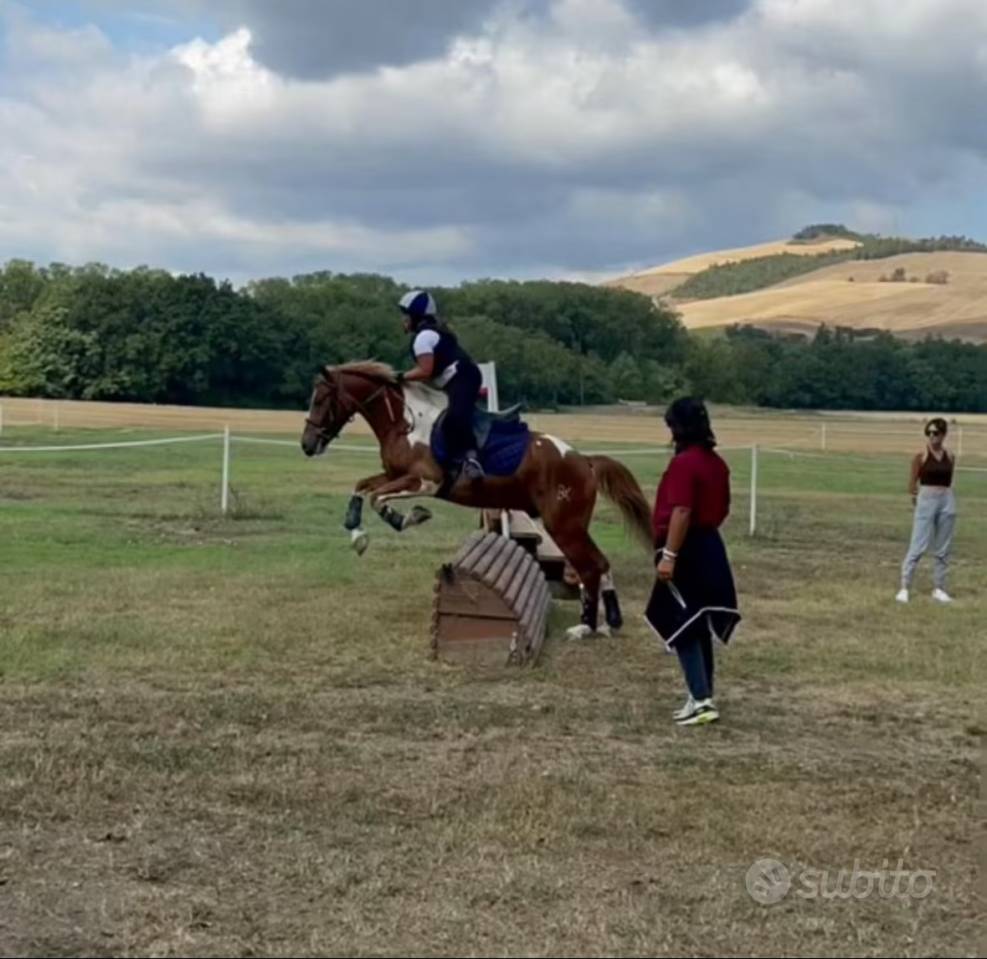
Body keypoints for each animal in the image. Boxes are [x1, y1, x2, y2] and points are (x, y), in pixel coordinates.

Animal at [300, 361, 653, 639]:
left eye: (321, 400)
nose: (307, 444)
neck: (404, 421)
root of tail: (586, 461)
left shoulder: (425, 481)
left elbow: (377, 498)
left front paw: (409, 517)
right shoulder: (394, 475)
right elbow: (361, 488)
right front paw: (357, 534)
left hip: (564, 525)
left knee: (591, 566)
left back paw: (587, 627)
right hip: (569, 524)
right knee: (599, 563)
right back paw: (609, 623)